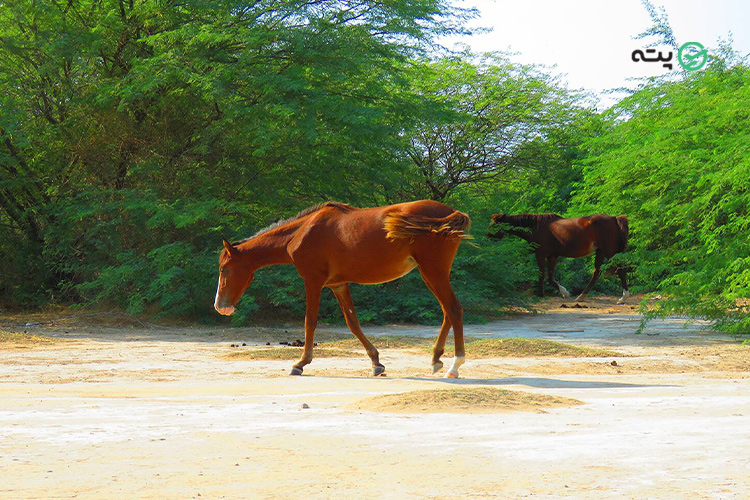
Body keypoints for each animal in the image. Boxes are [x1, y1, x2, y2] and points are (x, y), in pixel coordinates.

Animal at [214, 199, 470, 376]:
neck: (303, 231)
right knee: (447, 312)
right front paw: (376, 363)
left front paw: (301, 363)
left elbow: (310, 321)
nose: (219, 306)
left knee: (454, 309)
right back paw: (436, 359)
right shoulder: (338, 285)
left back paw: (455, 365)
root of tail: (451, 213)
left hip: (433, 272)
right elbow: (353, 323)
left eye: (223, 269)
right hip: (431, 275)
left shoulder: (313, 281)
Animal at [490, 213, 632, 302]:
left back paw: (623, 297)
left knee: (621, 271)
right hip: (601, 252)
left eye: (495, 224)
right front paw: (564, 293)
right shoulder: (552, 256)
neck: (536, 227)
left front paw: (542, 294)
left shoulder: (540, 254)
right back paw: (581, 296)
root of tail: (614, 218)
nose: (488, 235)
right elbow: (549, 277)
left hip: (610, 252)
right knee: (596, 273)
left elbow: (542, 275)